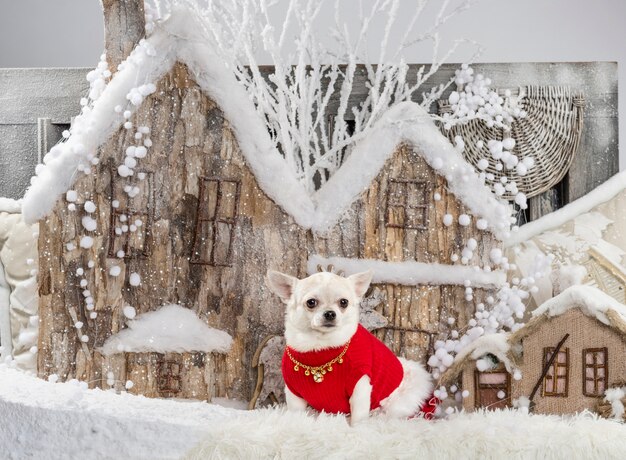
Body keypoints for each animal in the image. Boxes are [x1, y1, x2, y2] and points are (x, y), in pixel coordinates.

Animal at [264, 270, 434, 424]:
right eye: (311, 302)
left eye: (343, 302)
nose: (330, 313)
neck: (320, 347)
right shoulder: (294, 393)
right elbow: (296, 414)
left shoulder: (360, 388)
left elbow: (358, 416)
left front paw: (357, 429)